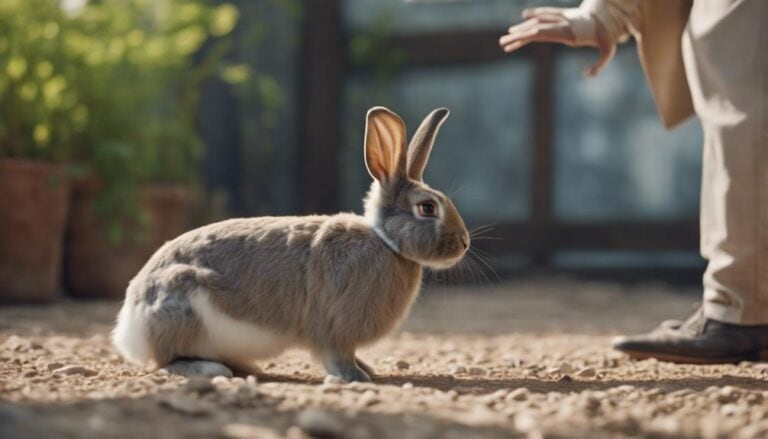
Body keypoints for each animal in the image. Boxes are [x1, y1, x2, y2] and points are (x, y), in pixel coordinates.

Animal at [111, 106, 470, 382]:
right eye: (427, 208)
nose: (464, 243)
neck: (385, 242)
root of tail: (129, 327)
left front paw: (368, 370)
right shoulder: (334, 332)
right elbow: (338, 357)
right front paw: (357, 377)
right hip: (183, 309)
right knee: (167, 361)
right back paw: (211, 369)